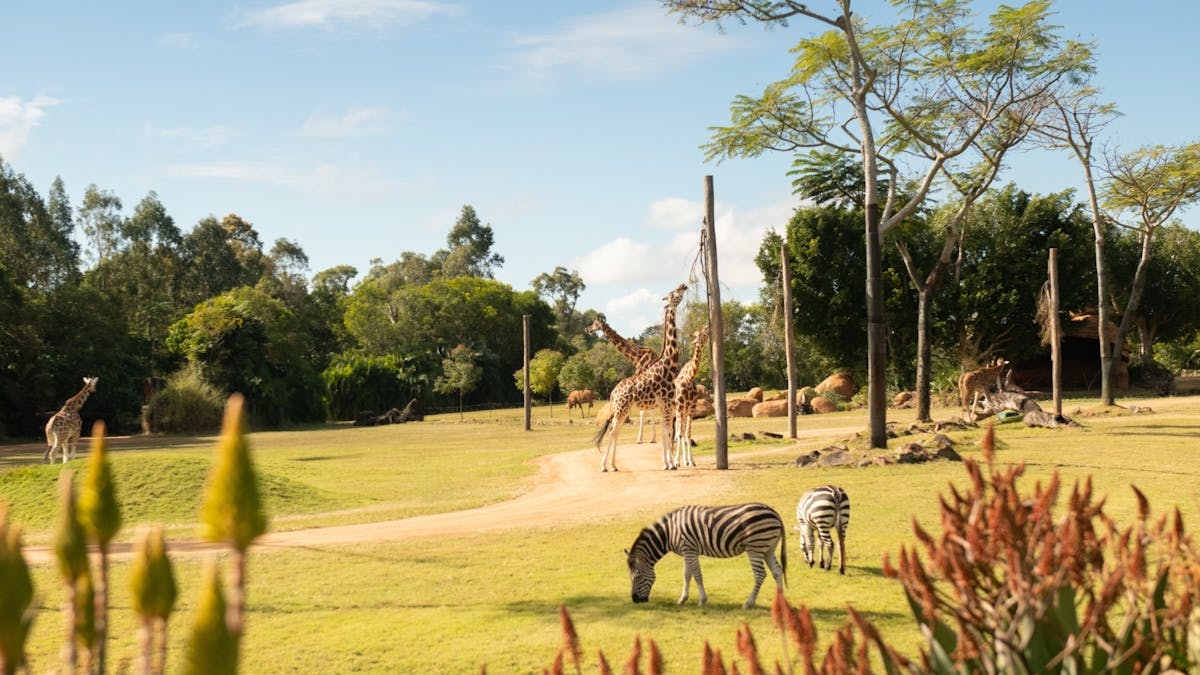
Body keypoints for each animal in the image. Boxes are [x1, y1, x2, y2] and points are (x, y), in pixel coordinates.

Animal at [594, 283, 688, 472]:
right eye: (674, 293)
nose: (684, 285)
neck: (669, 363)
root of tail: (613, 393)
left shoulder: (665, 405)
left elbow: (666, 431)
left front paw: (668, 463)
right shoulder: (666, 403)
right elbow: (666, 431)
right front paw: (669, 464)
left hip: (622, 409)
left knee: (615, 431)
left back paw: (613, 465)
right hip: (621, 408)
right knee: (613, 431)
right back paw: (605, 466)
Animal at [624, 502, 787, 608]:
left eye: (637, 577)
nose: (635, 600)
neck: (670, 532)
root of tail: (776, 514)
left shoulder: (689, 549)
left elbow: (697, 575)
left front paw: (702, 600)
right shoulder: (687, 551)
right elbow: (686, 575)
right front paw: (682, 599)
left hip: (755, 548)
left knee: (760, 574)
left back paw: (748, 603)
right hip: (768, 548)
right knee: (777, 571)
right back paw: (780, 603)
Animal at [672, 324, 710, 469]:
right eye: (701, 334)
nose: (707, 326)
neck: (689, 377)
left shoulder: (691, 408)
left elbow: (687, 433)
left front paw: (691, 461)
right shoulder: (680, 407)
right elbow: (680, 434)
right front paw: (677, 461)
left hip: (681, 412)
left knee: (680, 431)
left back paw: (685, 460)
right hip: (674, 411)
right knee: (673, 432)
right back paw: (673, 461)